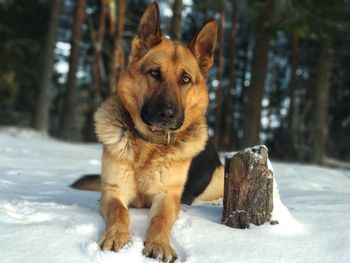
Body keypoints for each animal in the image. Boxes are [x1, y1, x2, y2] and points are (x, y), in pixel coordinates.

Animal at [72, 1, 223, 262]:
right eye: (154, 73)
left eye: (185, 79)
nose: (167, 114)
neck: (150, 144)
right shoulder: (113, 191)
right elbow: (120, 212)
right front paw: (116, 235)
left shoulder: (167, 197)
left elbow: (160, 219)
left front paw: (159, 244)